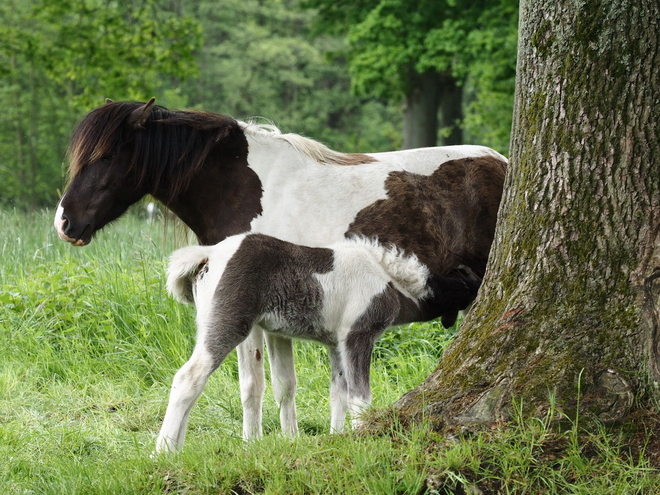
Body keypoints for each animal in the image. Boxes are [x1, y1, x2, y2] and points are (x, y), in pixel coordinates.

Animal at [159, 233, 480, 454]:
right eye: (469, 284)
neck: (388, 279)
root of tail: (208, 255)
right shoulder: (357, 336)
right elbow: (360, 395)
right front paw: (362, 439)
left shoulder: (335, 344)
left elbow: (338, 393)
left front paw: (337, 438)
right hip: (229, 325)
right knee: (189, 377)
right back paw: (162, 451)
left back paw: (181, 448)